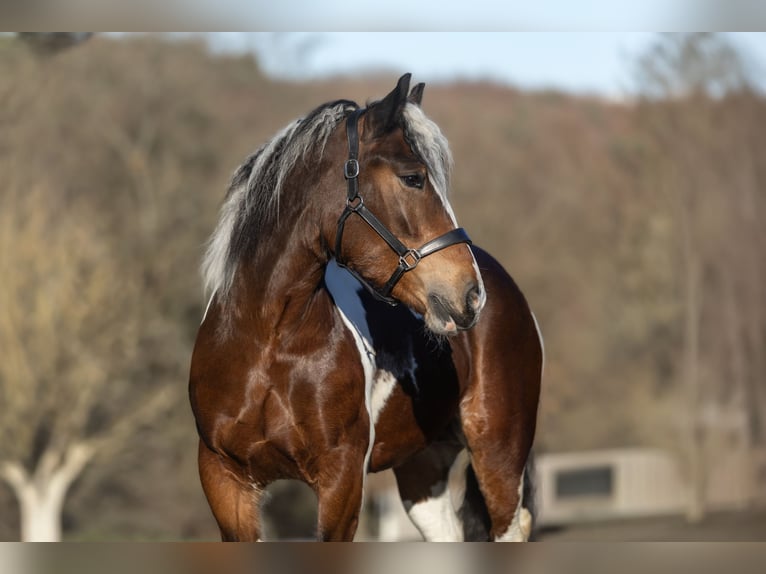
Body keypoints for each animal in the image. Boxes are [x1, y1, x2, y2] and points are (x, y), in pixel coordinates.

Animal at [189, 74, 542, 541]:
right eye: (413, 178)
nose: (469, 294)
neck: (266, 342)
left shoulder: (340, 480)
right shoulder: (225, 480)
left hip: (499, 454)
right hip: (424, 467)